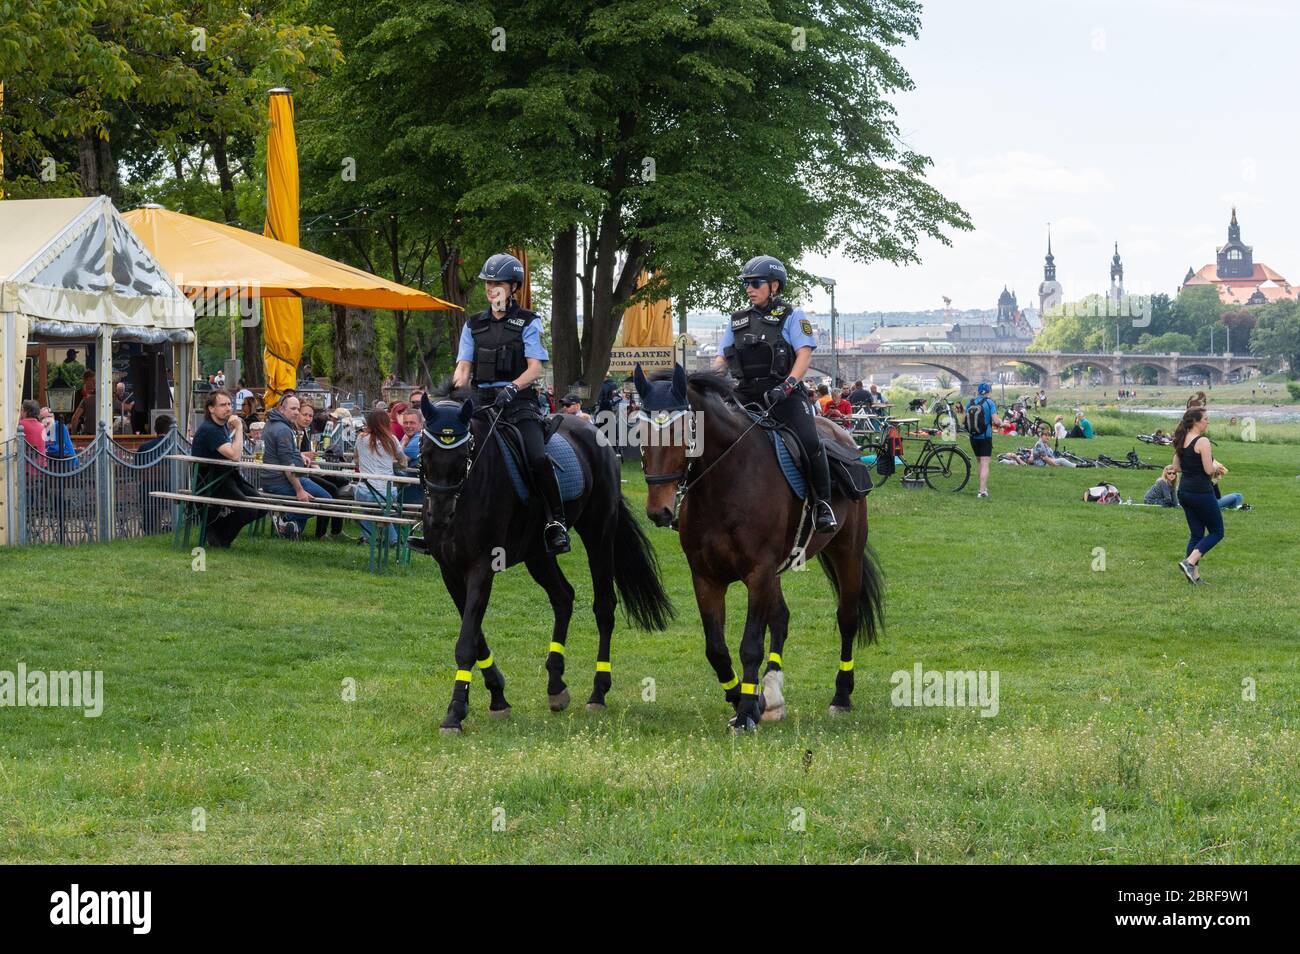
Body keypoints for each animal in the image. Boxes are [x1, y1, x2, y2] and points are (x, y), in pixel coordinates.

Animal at [421, 387, 676, 733]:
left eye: (463, 457)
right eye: (423, 452)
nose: (439, 517)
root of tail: (596, 433)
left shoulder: (482, 566)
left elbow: (466, 643)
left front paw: (455, 712)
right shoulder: (450, 571)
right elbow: (475, 636)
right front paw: (497, 698)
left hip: (598, 534)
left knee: (604, 606)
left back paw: (598, 692)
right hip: (538, 555)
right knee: (563, 597)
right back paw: (556, 686)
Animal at [629, 366, 883, 733]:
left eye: (682, 430)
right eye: (639, 431)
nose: (658, 510)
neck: (725, 480)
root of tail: (845, 435)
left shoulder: (758, 572)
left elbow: (750, 645)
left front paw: (748, 711)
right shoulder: (706, 577)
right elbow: (716, 649)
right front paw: (744, 699)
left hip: (846, 551)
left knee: (847, 617)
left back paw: (841, 696)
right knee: (781, 618)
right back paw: (773, 695)